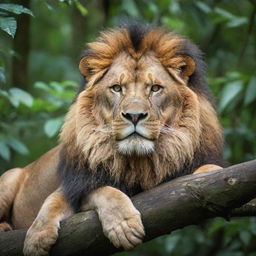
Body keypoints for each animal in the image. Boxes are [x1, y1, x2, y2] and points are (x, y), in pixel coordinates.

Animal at [0, 24, 223, 256]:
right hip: (8, 179)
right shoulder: (76, 185)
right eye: (117, 88)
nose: (134, 116)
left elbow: (209, 171)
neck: (138, 161)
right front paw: (38, 237)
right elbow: (88, 194)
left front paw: (210, 177)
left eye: (155, 88)